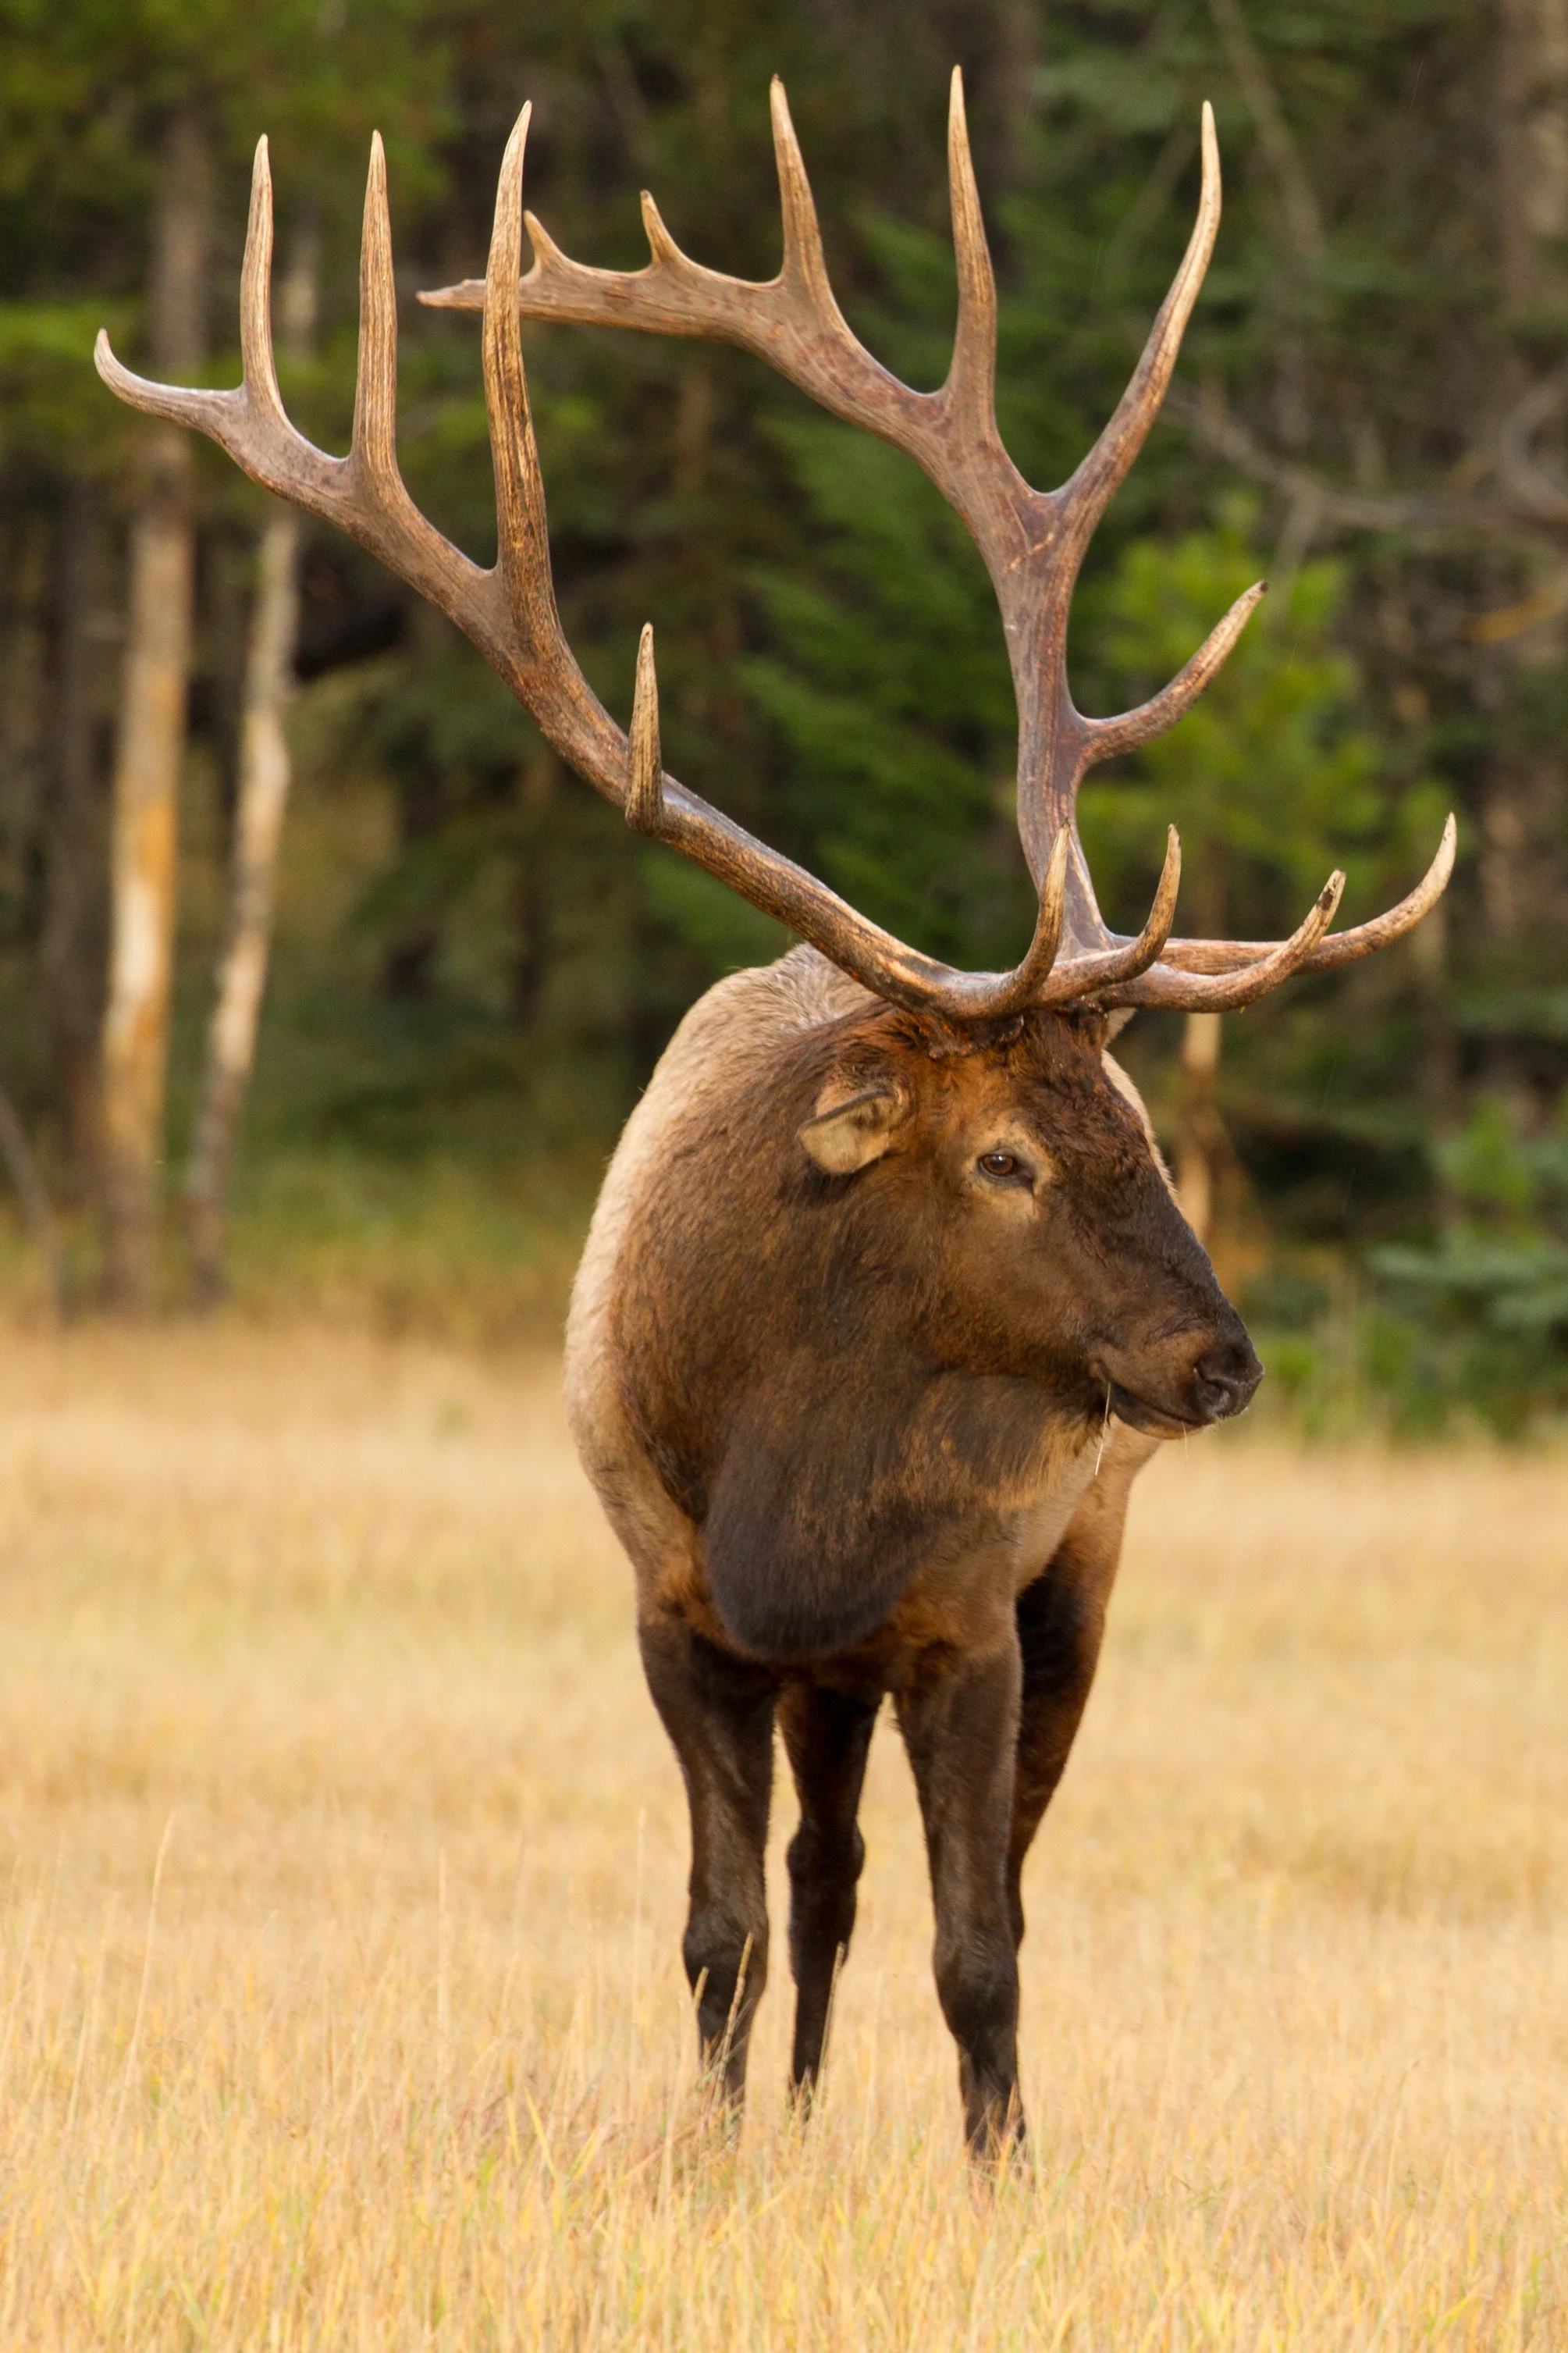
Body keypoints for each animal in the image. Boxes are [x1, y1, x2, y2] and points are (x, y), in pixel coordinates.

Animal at [98, 74, 1453, 2158]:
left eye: (1141, 1122)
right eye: (1008, 1155)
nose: (1220, 1361)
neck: (786, 1486)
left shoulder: (968, 1606)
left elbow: (985, 1946)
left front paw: (999, 2177)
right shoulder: (674, 1603)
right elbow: (719, 1928)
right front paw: (725, 2143)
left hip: (1078, 1567)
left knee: (971, 1878)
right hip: (833, 1667)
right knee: (822, 1876)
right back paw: (803, 2109)